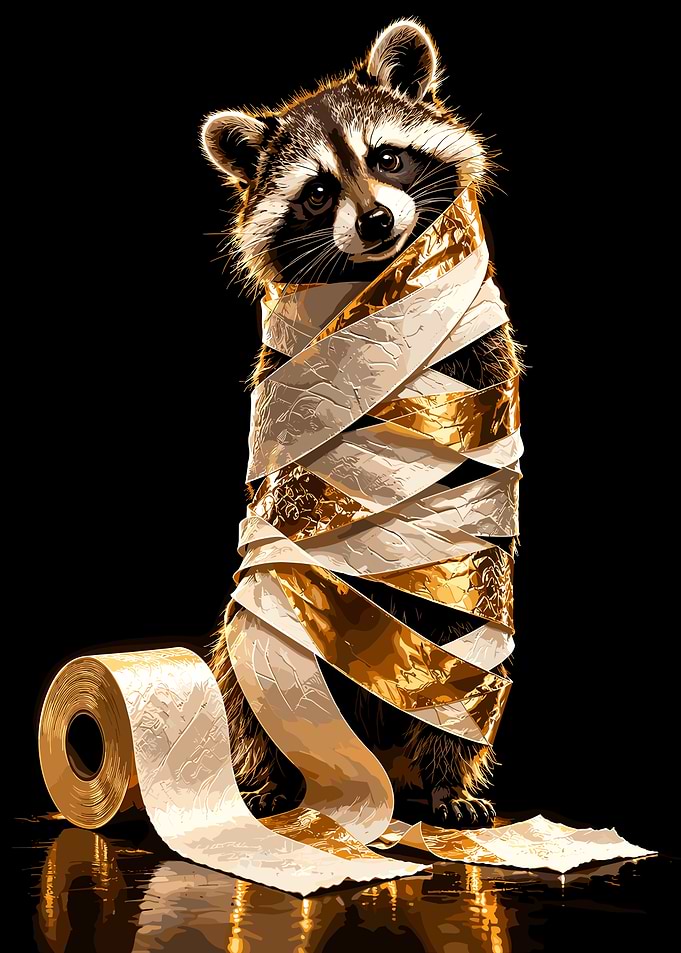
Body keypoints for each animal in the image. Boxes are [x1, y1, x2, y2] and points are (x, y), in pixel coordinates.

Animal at [201, 19, 524, 828]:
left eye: (386, 157)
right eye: (318, 194)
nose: (375, 220)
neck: (376, 286)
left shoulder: (482, 351)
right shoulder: (287, 375)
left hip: (470, 607)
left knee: (462, 664)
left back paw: (445, 779)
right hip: (267, 632)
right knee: (249, 675)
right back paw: (272, 773)